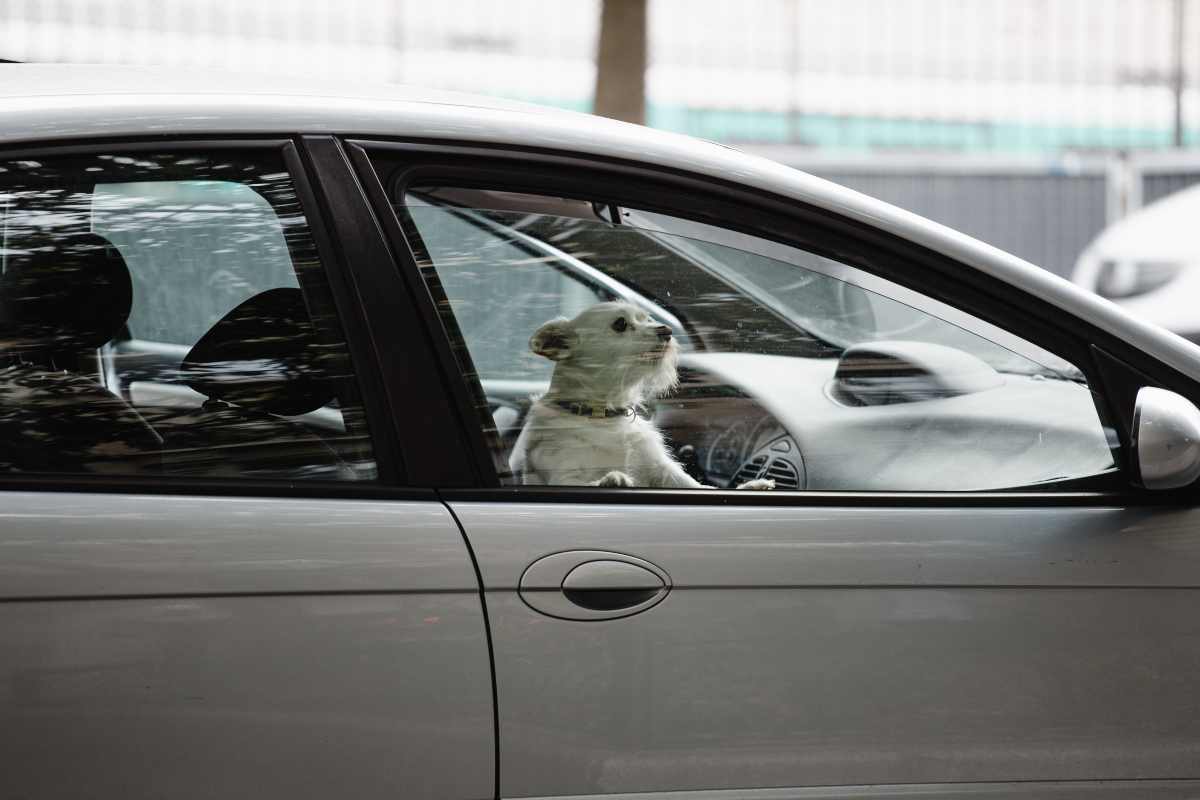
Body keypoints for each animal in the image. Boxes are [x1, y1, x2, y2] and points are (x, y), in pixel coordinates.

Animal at [508, 299, 772, 489]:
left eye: (648, 318)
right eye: (620, 324)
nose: (666, 330)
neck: (603, 416)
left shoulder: (663, 470)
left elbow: (695, 485)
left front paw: (748, 487)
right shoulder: (565, 475)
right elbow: (585, 481)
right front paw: (610, 480)